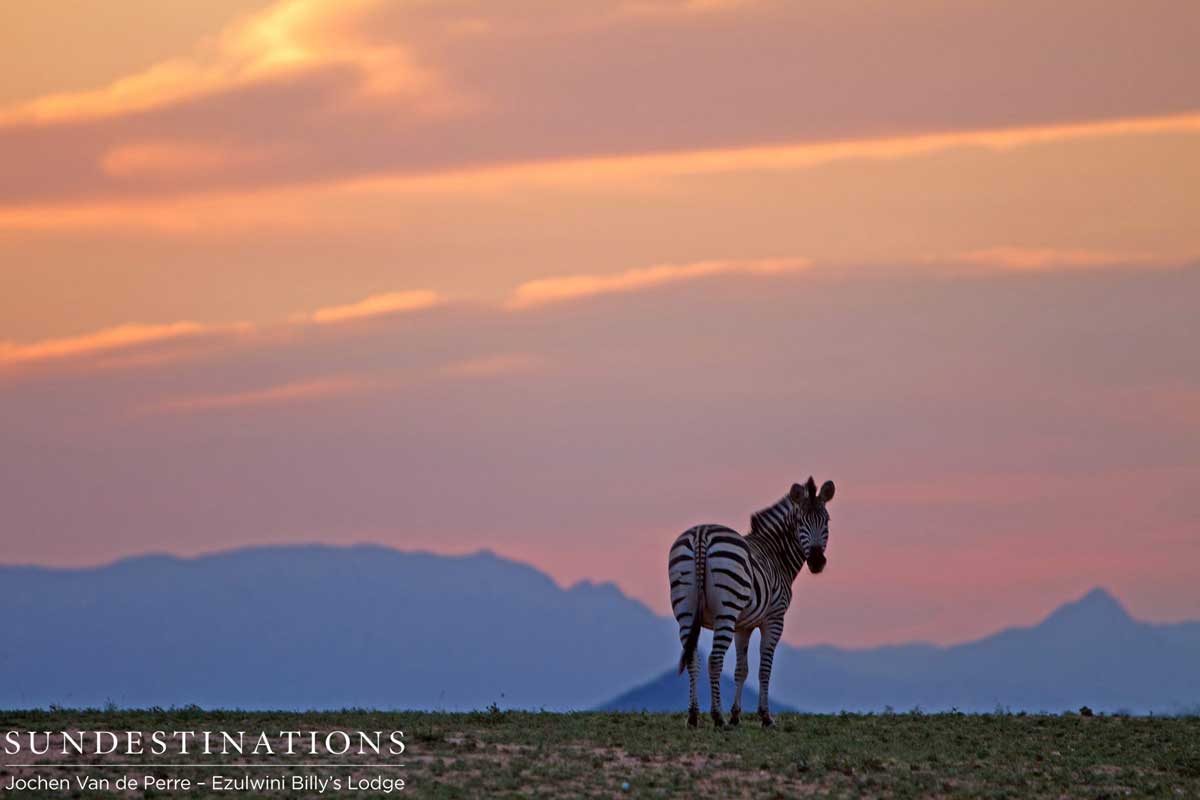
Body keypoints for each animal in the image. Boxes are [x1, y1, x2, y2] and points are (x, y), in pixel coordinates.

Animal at [667, 476, 835, 728]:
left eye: (826, 520)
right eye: (800, 522)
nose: (816, 561)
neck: (776, 553)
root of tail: (701, 534)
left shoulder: (742, 626)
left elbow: (741, 669)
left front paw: (737, 715)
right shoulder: (774, 619)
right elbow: (764, 669)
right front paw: (765, 717)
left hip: (685, 611)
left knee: (692, 659)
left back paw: (694, 716)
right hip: (725, 612)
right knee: (714, 660)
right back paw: (717, 717)